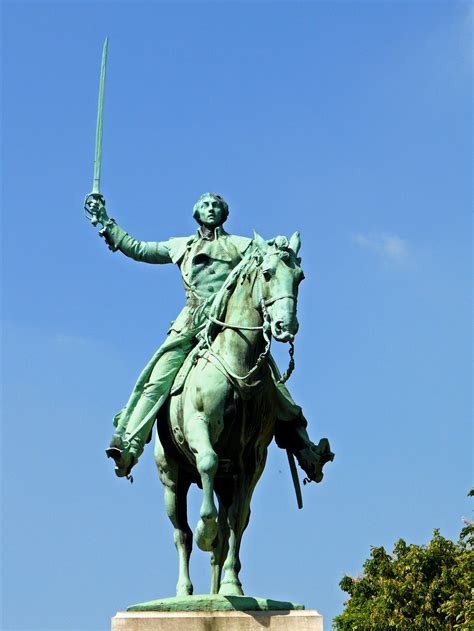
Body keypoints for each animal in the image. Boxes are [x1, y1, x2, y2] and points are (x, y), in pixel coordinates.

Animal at [154, 232, 306, 596]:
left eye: (300, 277)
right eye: (267, 273)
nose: (286, 325)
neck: (237, 361)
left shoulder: (252, 458)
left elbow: (238, 518)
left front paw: (232, 585)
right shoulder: (200, 426)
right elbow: (207, 462)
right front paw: (205, 530)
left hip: (225, 481)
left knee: (228, 529)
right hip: (171, 479)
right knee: (181, 533)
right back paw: (184, 589)